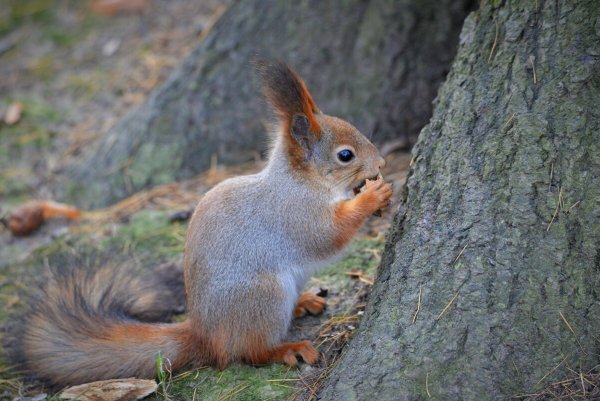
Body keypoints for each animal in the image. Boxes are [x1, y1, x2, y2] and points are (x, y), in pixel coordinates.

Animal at [10, 61, 394, 388]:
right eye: (345, 155)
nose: (381, 162)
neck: (298, 182)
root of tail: (204, 335)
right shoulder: (294, 213)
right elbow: (327, 237)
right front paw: (372, 197)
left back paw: (303, 302)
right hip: (263, 297)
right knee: (249, 352)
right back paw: (286, 348)